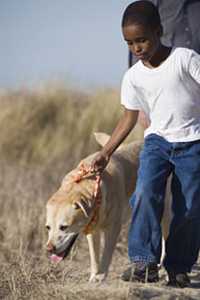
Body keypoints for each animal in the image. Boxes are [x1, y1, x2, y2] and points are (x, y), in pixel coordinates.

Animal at [45, 132, 172, 282]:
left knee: (165, 238)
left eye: (64, 227)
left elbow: (106, 255)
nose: (49, 249)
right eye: (48, 227)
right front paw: (93, 277)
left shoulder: (113, 229)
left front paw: (100, 277)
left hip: (165, 212)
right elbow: (94, 257)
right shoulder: (92, 230)